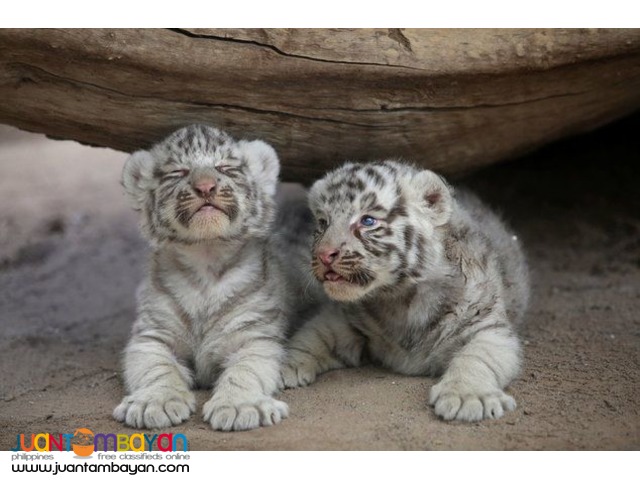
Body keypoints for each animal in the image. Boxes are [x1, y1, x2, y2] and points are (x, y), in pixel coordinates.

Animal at [113, 124, 301, 431]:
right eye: (178, 172)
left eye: (225, 167)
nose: (205, 187)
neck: (206, 258)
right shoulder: (153, 334)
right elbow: (156, 368)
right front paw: (154, 403)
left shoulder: (254, 334)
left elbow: (246, 370)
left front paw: (240, 407)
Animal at [282, 160, 530, 422]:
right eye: (323, 222)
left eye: (367, 221)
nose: (324, 255)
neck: (401, 298)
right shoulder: (345, 319)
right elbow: (312, 336)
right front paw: (283, 366)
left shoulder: (487, 326)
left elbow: (477, 358)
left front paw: (467, 396)